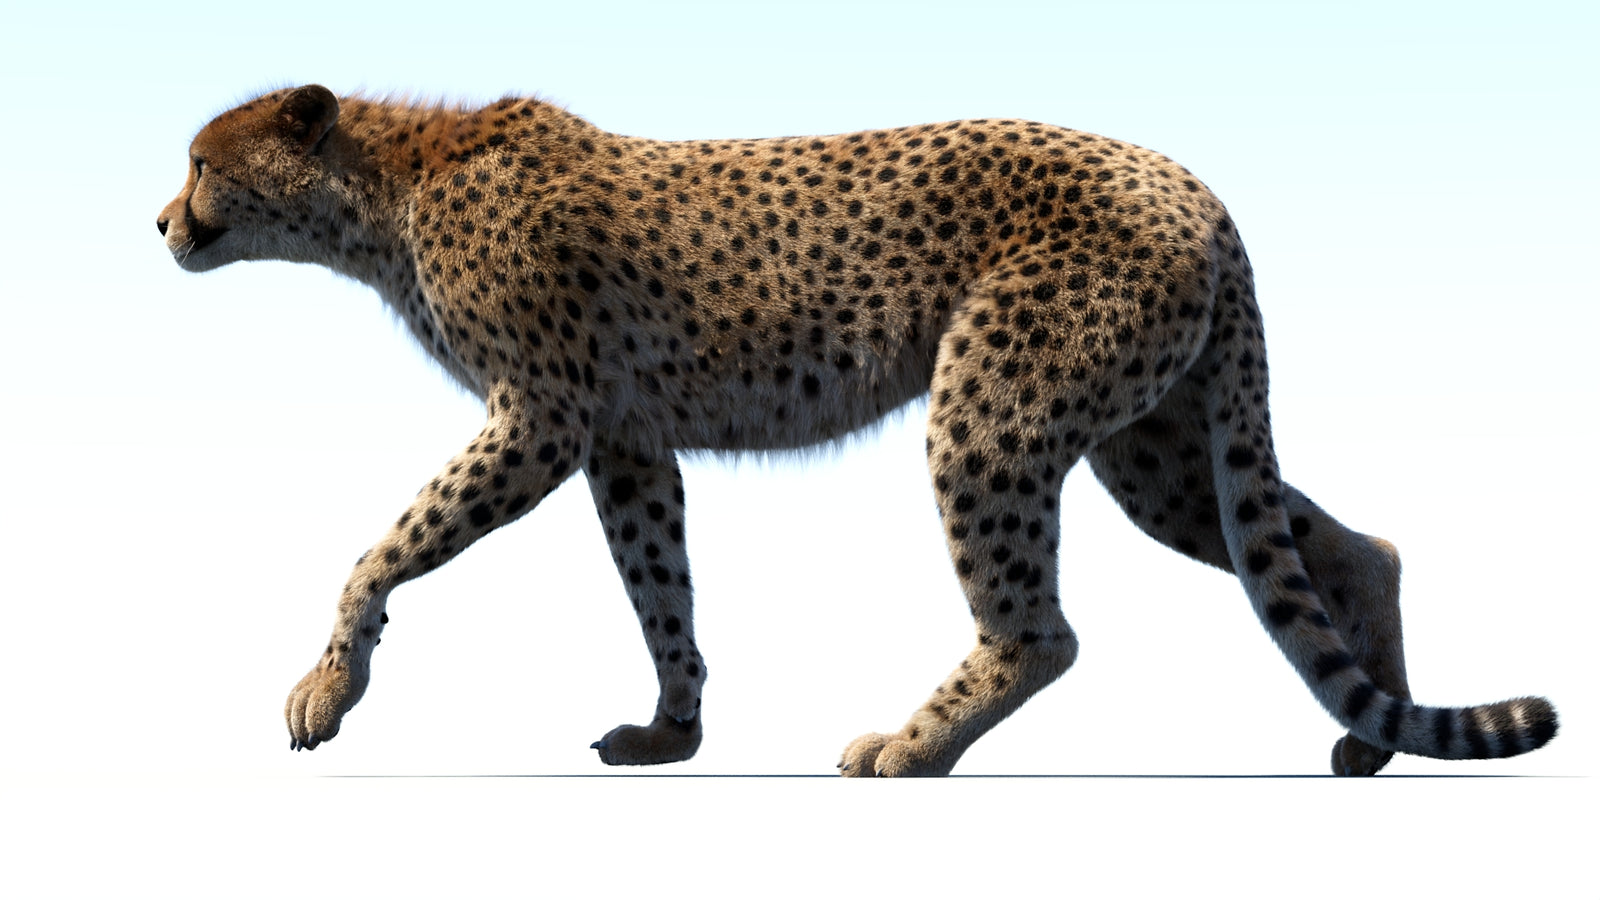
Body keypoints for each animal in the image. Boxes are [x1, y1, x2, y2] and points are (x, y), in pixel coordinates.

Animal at [158, 85, 1557, 776]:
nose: (162, 221)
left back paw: (912, 747)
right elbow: (658, 587)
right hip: (1155, 446)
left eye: (202, 162)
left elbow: (382, 546)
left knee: (1041, 631)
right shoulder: (622, 440)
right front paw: (673, 732)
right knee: (1349, 548)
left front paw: (327, 686)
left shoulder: (542, 419)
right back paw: (1371, 731)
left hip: (995, 406)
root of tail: (1193, 183)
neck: (385, 189)